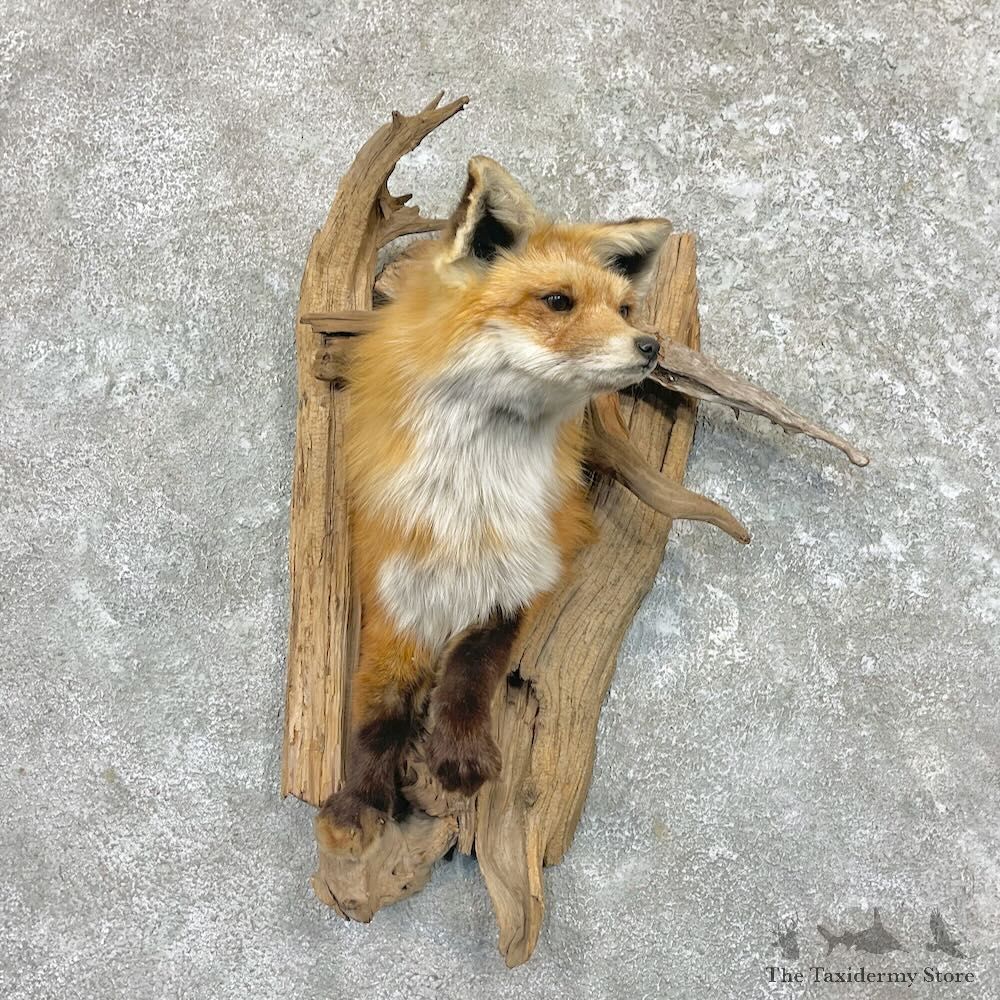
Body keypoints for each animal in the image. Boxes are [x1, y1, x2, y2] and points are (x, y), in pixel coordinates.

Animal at [316, 156, 671, 854]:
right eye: (558, 301)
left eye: (623, 309)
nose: (649, 345)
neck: (473, 505)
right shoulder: (392, 577)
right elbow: (380, 703)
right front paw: (360, 799)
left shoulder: (527, 565)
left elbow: (473, 668)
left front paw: (459, 757)